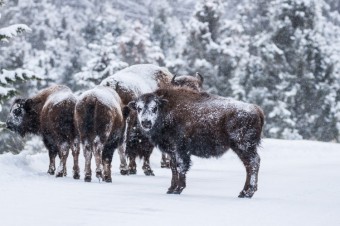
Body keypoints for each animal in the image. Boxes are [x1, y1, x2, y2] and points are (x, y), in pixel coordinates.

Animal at [129, 88, 264, 198]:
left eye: (154, 108)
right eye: (139, 108)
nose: (146, 122)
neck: (167, 108)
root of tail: (257, 110)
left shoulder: (180, 149)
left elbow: (180, 166)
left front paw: (178, 189)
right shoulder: (172, 151)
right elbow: (173, 168)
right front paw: (171, 189)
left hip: (243, 146)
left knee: (253, 163)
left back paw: (248, 193)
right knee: (249, 165)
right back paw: (243, 192)